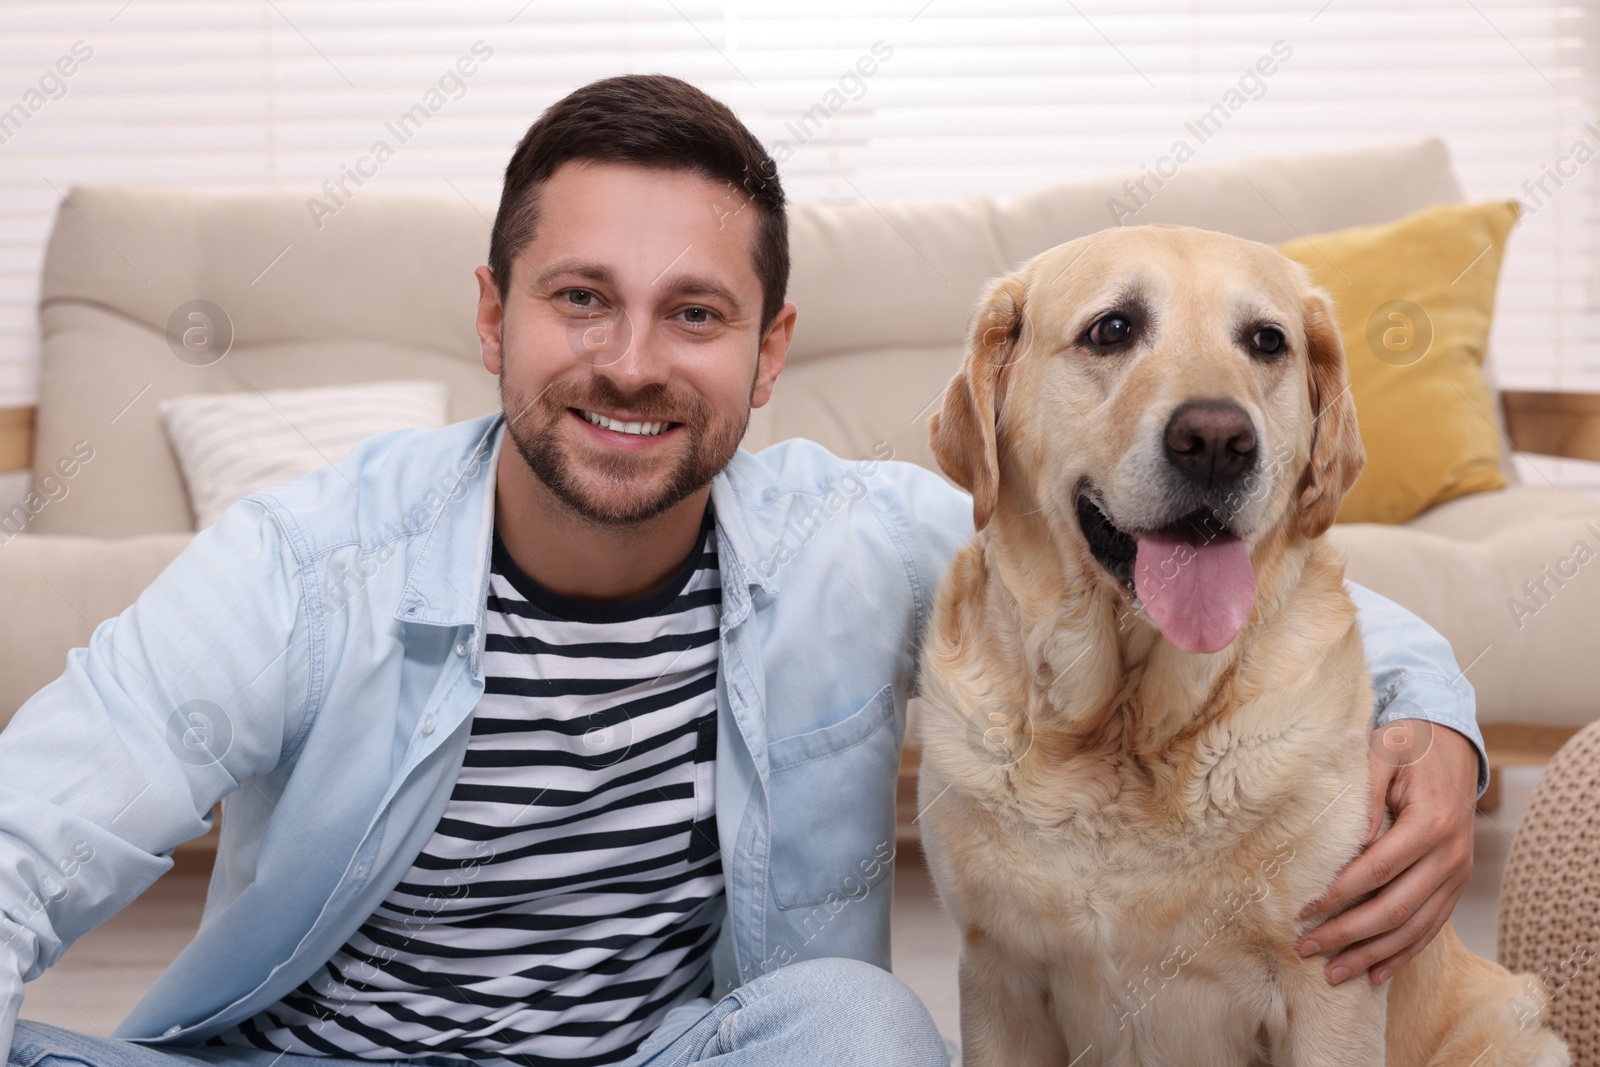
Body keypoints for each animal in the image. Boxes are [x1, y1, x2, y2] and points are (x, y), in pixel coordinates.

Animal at [921, 227, 1568, 1067]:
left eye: (1267, 341)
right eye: (1112, 329)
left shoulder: (1328, 988)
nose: (1217, 441)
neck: (1125, 733)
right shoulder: (998, 976)